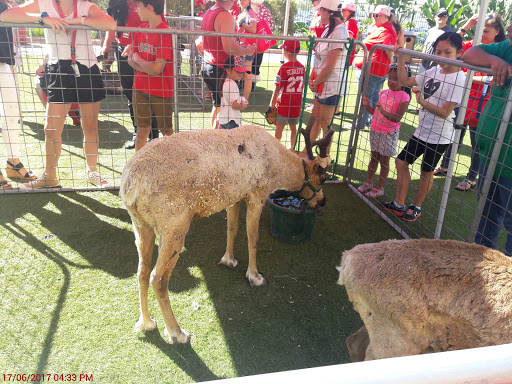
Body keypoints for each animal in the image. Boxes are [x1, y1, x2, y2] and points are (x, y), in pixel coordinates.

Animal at [121, 121, 336, 344]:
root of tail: (130, 185)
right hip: (174, 225)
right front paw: (255, 276)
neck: (279, 168)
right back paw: (177, 333)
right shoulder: (257, 194)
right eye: (323, 178)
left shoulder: (235, 198)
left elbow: (231, 229)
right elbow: (252, 237)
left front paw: (228, 260)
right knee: (159, 278)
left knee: (142, 271)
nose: (322, 201)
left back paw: (146, 323)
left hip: (141, 224)